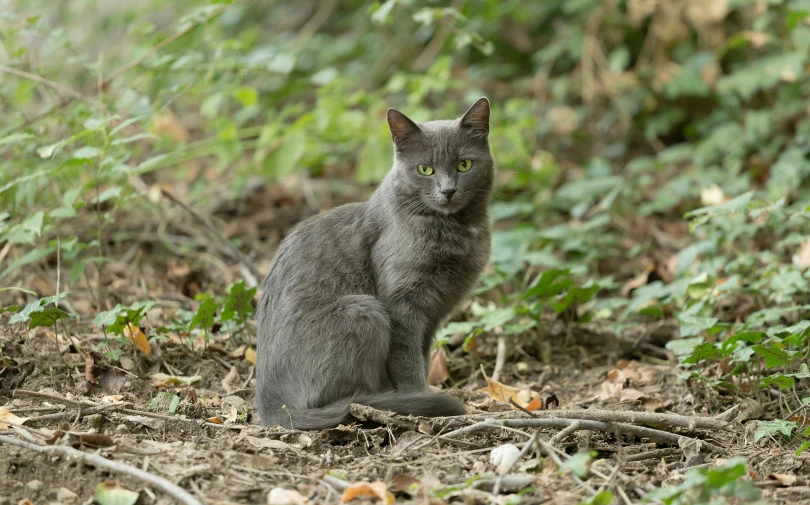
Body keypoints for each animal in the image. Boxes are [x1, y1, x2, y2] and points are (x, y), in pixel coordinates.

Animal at [256, 98, 492, 430]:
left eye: (464, 165)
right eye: (425, 169)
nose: (448, 191)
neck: (454, 230)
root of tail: (274, 408)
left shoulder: (432, 317)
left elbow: (422, 357)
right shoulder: (402, 307)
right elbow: (408, 363)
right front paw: (419, 402)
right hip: (365, 310)